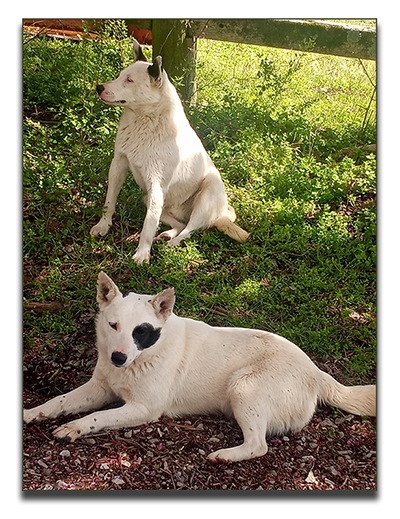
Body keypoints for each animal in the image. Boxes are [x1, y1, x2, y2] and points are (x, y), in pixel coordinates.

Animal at [24, 274, 376, 466]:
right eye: (114, 326)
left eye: (141, 331)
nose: (118, 358)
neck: (145, 356)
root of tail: (316, 372)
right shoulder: (99, 387)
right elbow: (58, 402)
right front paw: (33, 413)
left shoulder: (143, 409)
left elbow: (97, 417)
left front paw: (75, 427)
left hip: (243, 387)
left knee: (258, 445)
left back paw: (225, 456)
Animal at [91, 41, 248, 266]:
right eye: (120, 75)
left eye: (129, 80)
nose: (99, 88)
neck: (144, 120)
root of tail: (222, 215)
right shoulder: (119, 164)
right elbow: (109, 201)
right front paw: (103, 225)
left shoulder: (156, 184)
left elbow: (148, 225)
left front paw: (142, 254)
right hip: (148, 199)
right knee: (180, 224)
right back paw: (167, 234)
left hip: (207, 192)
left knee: (190, 229)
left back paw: (172, 244)